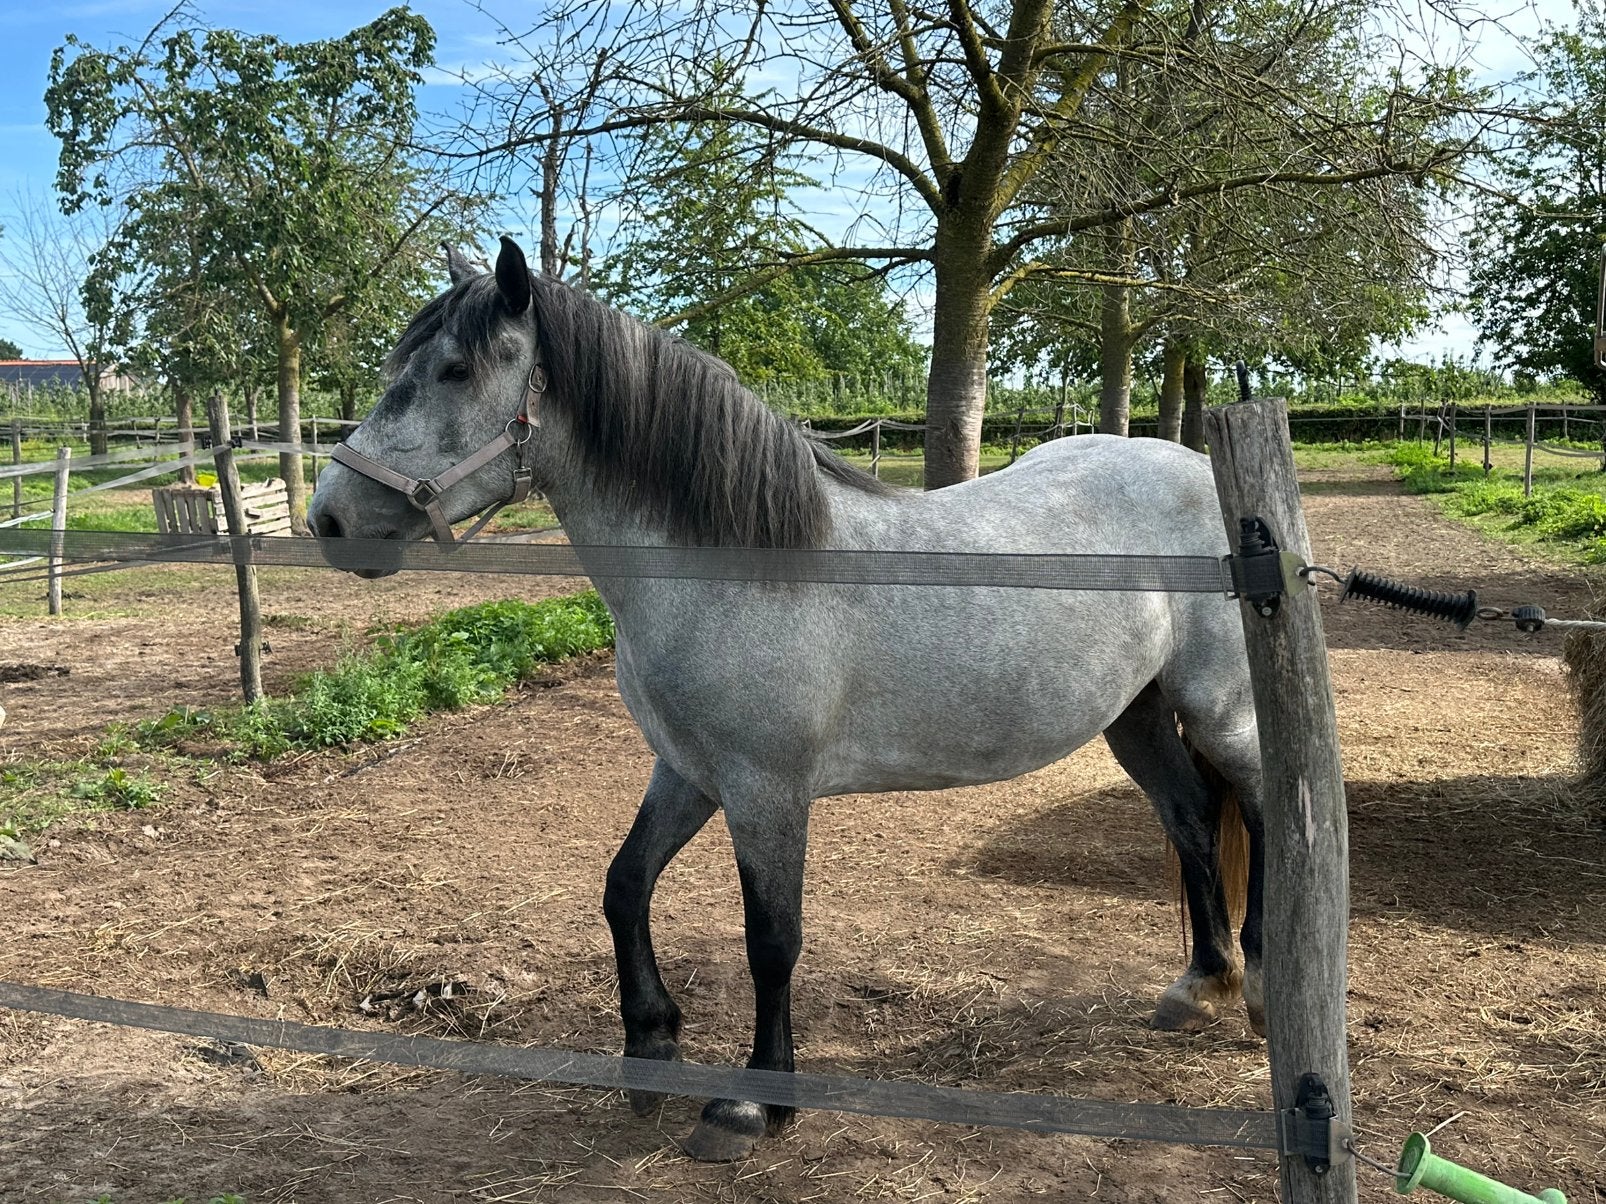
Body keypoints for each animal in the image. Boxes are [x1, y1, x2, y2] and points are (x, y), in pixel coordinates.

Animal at [308, 236, 1267, 1162]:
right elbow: (624, 886)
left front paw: (752, 1105)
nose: (330, 519)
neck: (733, 566)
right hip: (1134, 715)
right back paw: (1201, 983)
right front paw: (651, 1048)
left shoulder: (766, 790)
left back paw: (1256, 991)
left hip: (1222, 709)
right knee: (1189, 816)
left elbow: (771, 942)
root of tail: (1198, 469)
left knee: (1260, 813)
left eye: (454, 371)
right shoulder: (687, 772)